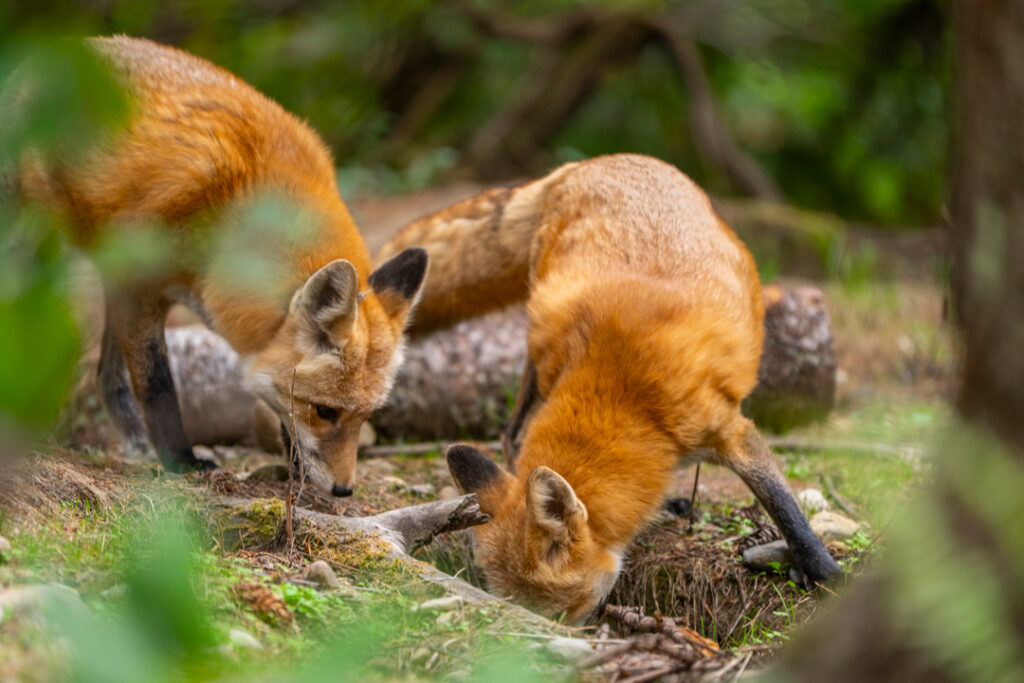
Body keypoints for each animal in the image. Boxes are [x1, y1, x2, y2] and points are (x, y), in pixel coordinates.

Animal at [14, 36, 428, 496]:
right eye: (324, 411)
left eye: (365, 416)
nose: (343, 490)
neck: (238, 206)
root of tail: (58, 45)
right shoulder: (140, 288)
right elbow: (158, 386)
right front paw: (181, 462)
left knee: (106, 376)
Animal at [377, 153, 842, 623]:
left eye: (558, 614)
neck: (626, 393)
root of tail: (586, 164)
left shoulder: (730, 430)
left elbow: (785, 507)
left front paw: (823, 570)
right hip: (537, 352)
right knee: (512, 431)